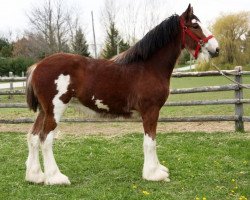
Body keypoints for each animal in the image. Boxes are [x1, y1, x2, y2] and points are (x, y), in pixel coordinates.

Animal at [24, 4, 219, 185]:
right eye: (195, 25)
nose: (216, 49)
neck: (148, 67)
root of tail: (37, 66)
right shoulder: (151, 111)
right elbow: (150, 142)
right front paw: (153, 174)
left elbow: (152, 141)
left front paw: (157, 169)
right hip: (55, 109)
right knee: (45, 139)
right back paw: (55, 177)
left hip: (44, 111)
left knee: (33, 137)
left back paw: (35, 176)